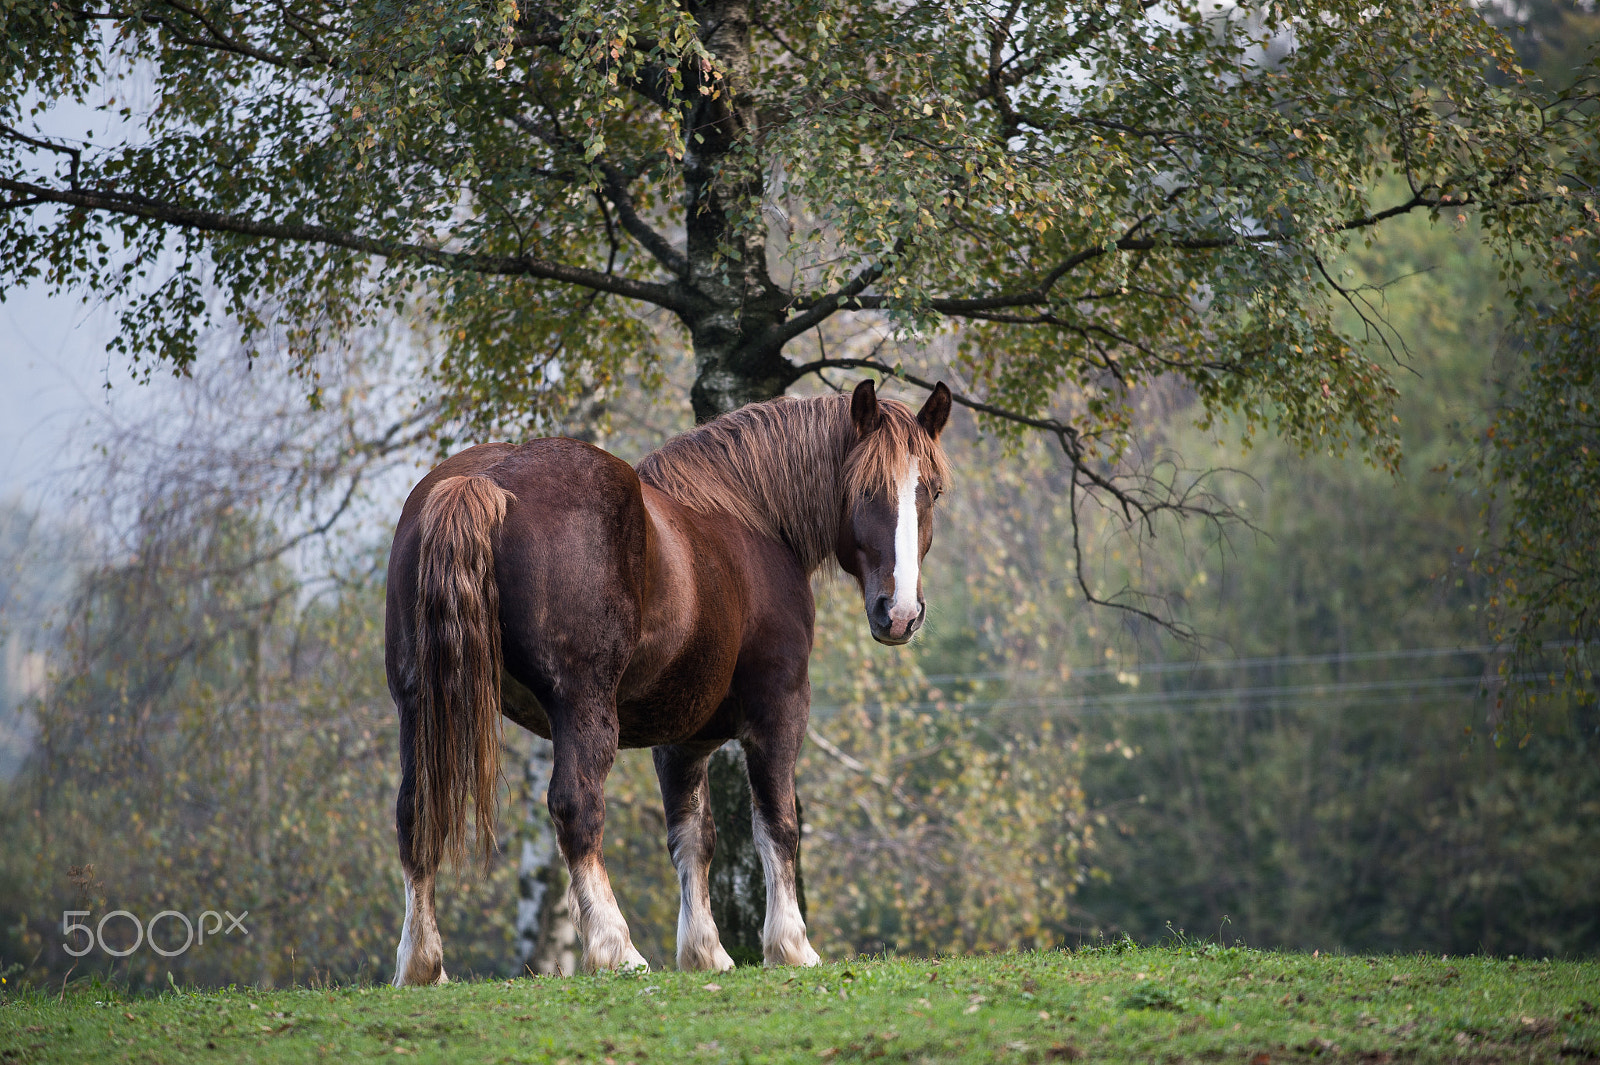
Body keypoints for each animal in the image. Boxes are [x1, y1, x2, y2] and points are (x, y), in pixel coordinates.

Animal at [384, 379, 952, 984]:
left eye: (933, 492)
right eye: (865, 488)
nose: (900, 613)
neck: (751, 518)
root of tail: (487, 480)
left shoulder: (683, 741)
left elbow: (692, 839)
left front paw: (705, 952)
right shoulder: (779, 709)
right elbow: (778, 824)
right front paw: (791, 945)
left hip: (420, 706)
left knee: (414, 813)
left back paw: (421, 963)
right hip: (582, 708)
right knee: (577, 807)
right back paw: (616, 949)